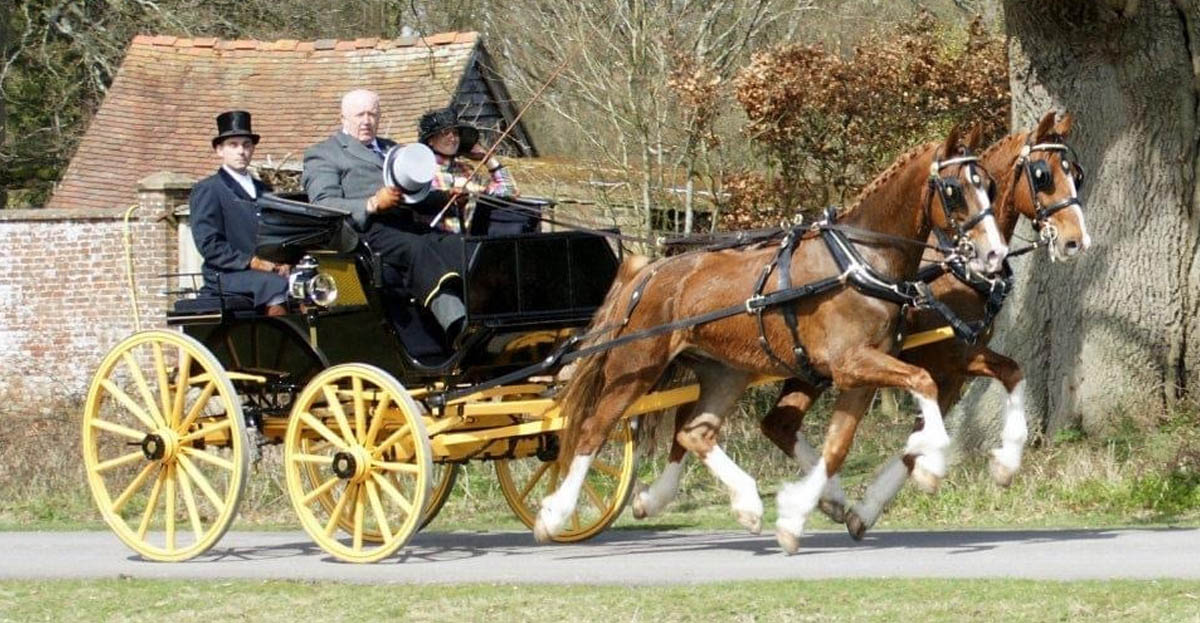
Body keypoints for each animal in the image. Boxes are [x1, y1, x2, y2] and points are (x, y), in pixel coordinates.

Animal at [535, 125, 1003, 552]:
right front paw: (931, 464)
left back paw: (735, 503)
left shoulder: (862, 375)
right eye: (955, 190)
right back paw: (555, 514)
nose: (995, 254)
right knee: (593, 430)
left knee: (695, 432)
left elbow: (840, 445)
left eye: (989, 185)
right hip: (634, 367)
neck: (860, 259)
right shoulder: (851, 364)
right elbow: (922, 382)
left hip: (725, 372)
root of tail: (650, 270)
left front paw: (805, 513)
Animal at [633, 111, 1094, 540]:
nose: (1077, 242)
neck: (946, 267)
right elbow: (923, 429)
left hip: (789, 366)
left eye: (1077, 174)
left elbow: (1008, 375)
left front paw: (999, 464)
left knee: (755, 424)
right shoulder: (939, 360)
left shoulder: (958, 361)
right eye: (1043, 174)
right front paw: (918, 477)